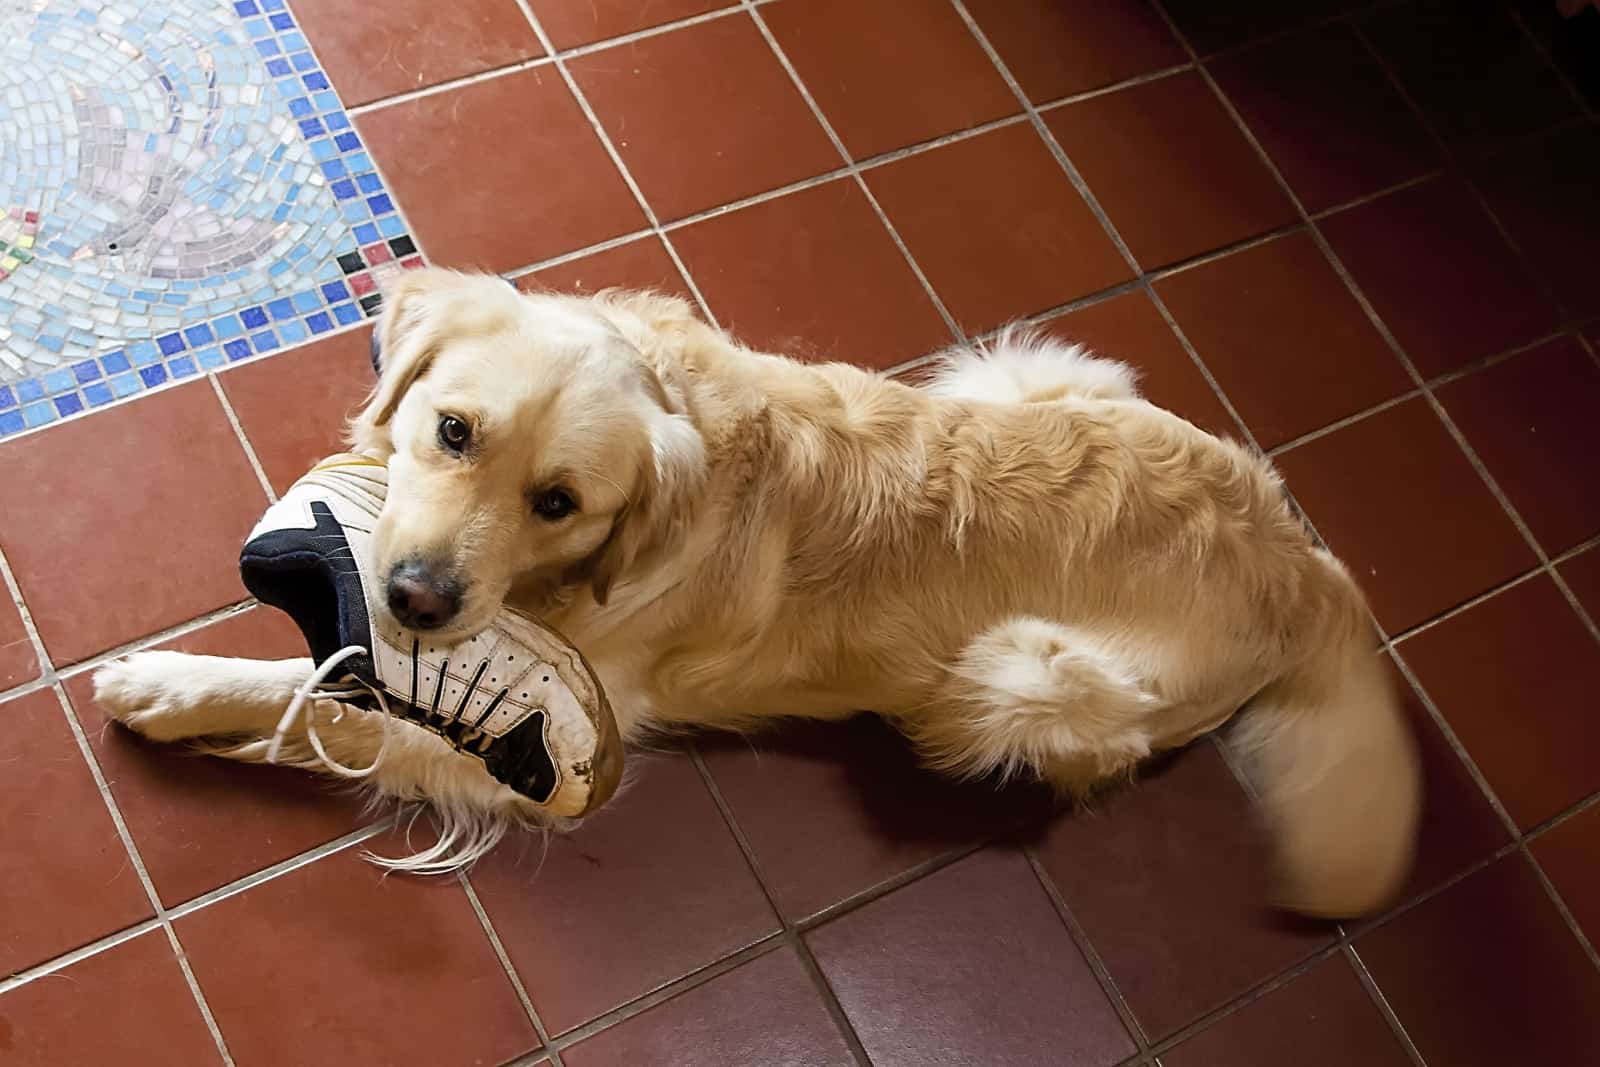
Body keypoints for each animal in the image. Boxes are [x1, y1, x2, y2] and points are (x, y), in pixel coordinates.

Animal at [96, 267, 1427, 921]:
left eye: (559, 500)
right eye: (453, 429)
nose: (418, 599)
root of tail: (1307, 562)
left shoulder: (549, 741)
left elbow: (320, 699)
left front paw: (171, 683)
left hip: (1018, 677)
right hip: (1021, 368)